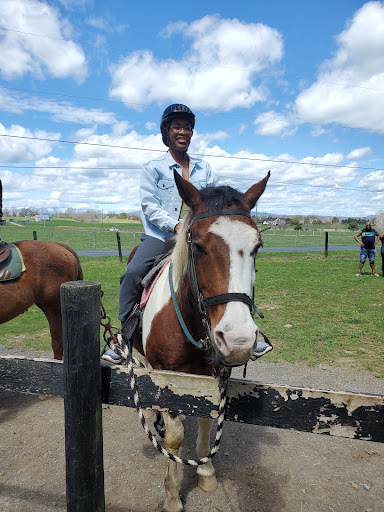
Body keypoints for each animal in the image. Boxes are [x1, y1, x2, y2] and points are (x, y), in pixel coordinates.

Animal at [129, 170, 270, 510]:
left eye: (257, 246)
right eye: (199, 247)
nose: (238, 339)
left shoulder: (214, 375)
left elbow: (207, 422)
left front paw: (206, 473)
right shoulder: (168, 376)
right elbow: (174, 438)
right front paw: (172, 496)